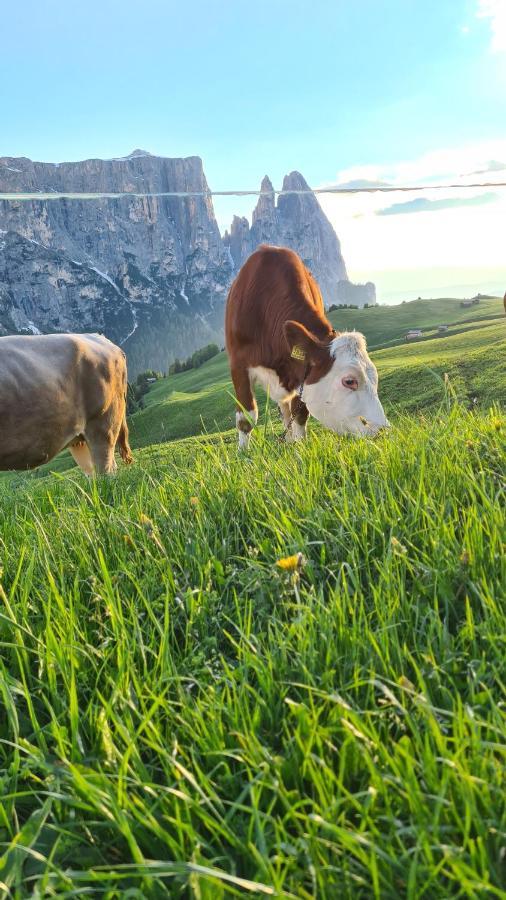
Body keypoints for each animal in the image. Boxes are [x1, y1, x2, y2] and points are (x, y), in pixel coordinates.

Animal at [227, 244, 390, 448]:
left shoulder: (300, 374)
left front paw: (300, 447)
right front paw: (243, 452)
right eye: (349, 381)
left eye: (375, 378)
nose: (382, 430)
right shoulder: (238, 364)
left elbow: (299, 414)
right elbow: (246, 418)